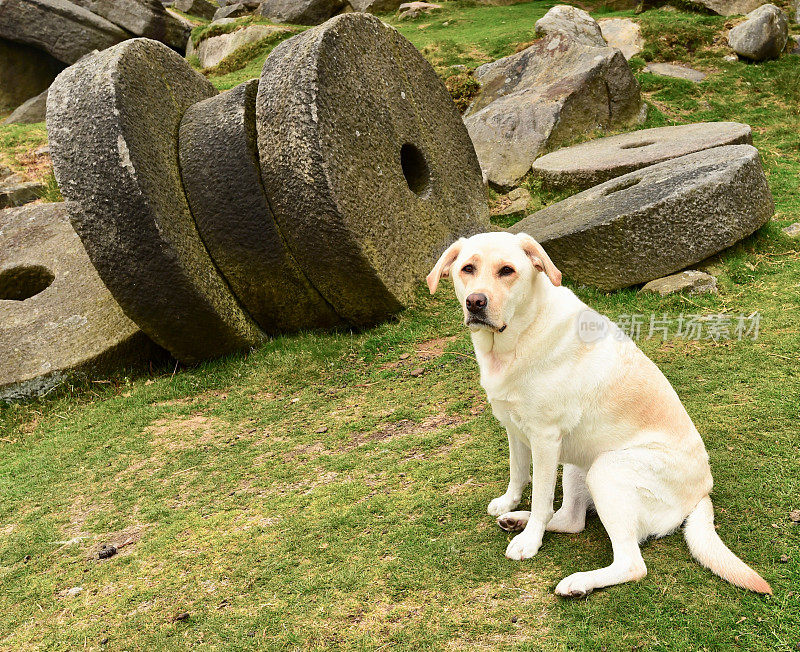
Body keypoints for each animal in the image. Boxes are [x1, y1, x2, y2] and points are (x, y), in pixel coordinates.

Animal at [428, 232, 772, 600]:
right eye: (468, 268)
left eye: (507, 270)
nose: (475, 302)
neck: (521, 332)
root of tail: (703, 492)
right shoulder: (513, 427)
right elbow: (519, 474)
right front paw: (509, 504)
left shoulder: (544, 438)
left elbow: (541, 497)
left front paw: (530, 542)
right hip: (578, 461)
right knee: (570, 520)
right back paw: (517, 519)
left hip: (606, 469)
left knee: (631, 564)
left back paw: (577, 580)